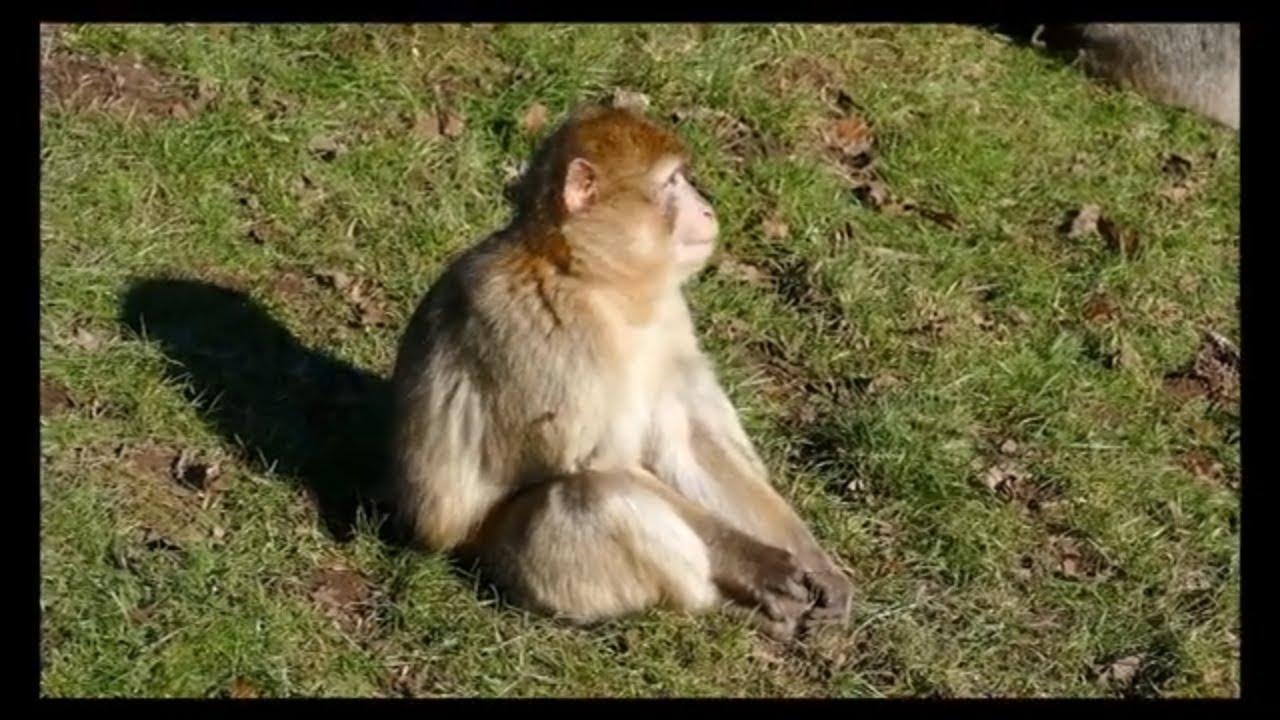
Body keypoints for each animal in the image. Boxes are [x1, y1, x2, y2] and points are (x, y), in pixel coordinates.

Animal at [385, 103, 853, 642]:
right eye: (672, 183)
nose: (706, 208)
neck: (595, 282)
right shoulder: (548, 329)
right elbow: (597, 463)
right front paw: (755, 562)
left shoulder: (669, 321)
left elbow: (690, 441)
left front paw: (817, 563)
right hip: (506, 561)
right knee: (590, 496)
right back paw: (719, 607)